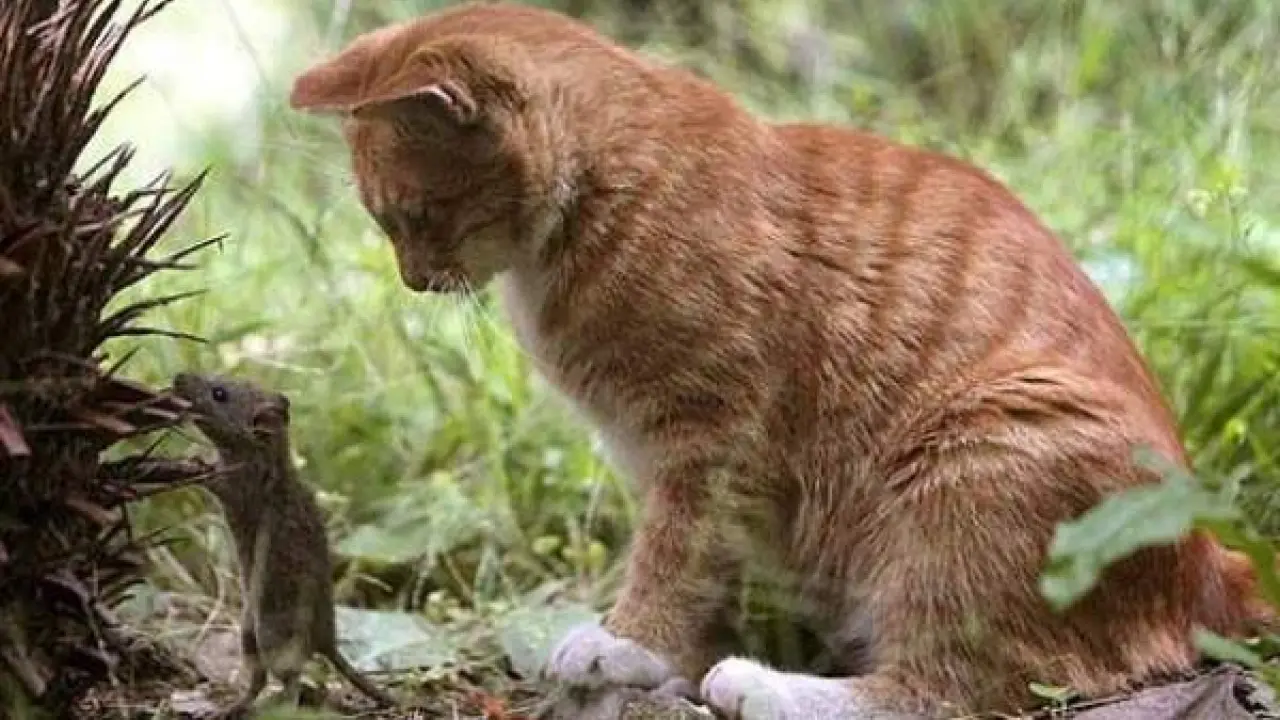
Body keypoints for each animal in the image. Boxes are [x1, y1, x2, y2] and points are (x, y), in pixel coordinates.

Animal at [288, 2, 1272, 717]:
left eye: (411, 217)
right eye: (386, 224)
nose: (415, 279)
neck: (607, 190)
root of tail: (1211, 562)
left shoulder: (711, 441)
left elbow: (673, 557)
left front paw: (628, 643)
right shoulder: (675, 461)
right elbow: (698, 571)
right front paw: (660, 663)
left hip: (979, 463)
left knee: (952, 689)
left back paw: (762, 685)